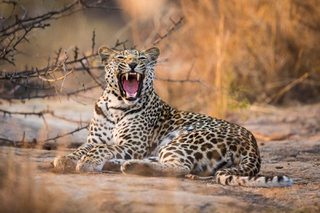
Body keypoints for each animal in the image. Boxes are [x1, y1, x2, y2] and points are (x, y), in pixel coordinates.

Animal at [52, 45, 292, 187]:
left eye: (141, 58)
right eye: (121, 57)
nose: (133, 64)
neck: (116, 105)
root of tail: (253, 145)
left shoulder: (132, 145)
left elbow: (102, 148)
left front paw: (88, 162)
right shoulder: (93, 140)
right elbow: (83, 148)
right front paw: (65, 159)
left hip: (186, 139)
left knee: (181, 167)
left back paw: (130, 167)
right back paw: (117, 164)